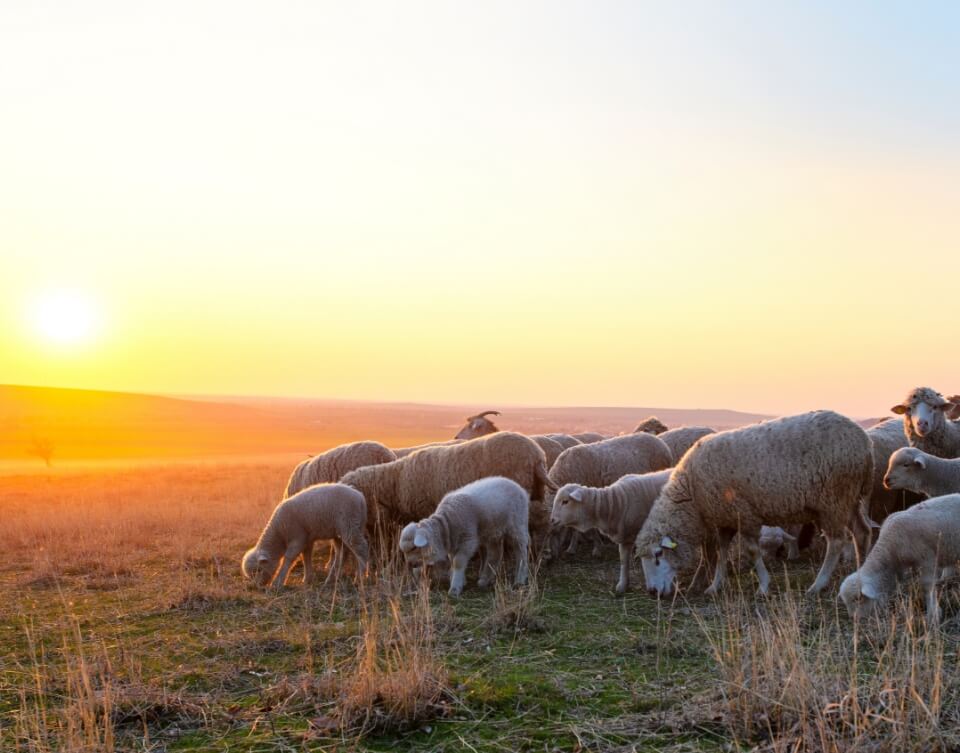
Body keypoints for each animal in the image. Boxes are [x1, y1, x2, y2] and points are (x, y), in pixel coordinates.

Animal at [242, 484, 370, 592]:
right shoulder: (307, 538)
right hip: (341, 532)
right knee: (342, 554)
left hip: (350, 525)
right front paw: (307, 579)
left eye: (259, 570)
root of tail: (360, 497)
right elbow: (306, 556)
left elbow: (288, 558)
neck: (279, 532)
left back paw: (360, 578)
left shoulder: (297, 537)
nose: (257, 587)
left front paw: (278, 582)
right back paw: (332, 579)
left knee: (362, 549)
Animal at [400, 476, 532, 592]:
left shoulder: (467, 540)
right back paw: (484, 580)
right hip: (493, 530)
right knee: (496, 553)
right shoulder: (453, 542)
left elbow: (457, 562)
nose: (410, 565)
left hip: (517, 525)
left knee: (521, 552)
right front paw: (458, 580)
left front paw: (455, 588)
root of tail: (520, 488)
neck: (445, 525)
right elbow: (452, 561)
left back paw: (519, 579)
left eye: (413, 547)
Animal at [632, 408, 872, 596]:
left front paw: (763, 586)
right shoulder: (725, 519)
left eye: (658, 554)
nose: (652, 592)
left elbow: (752, 551)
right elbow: (721, 552)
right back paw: (861, 573)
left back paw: (818, 585)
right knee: (862, 532)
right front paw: (715, 586)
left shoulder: (744, 514)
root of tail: (863, 440)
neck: (692, 493)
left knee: (836, 542)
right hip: (848, 499)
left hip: (833, 499)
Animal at [836, 494, 960, 624]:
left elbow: (927, 586)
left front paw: (933, 614)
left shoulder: (927, 559)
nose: (855, 619)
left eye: (858, 599)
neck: (890, 550)